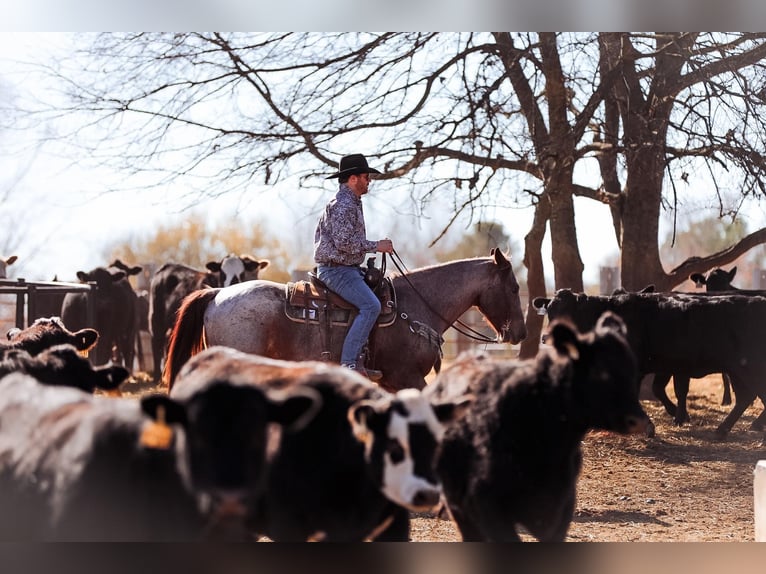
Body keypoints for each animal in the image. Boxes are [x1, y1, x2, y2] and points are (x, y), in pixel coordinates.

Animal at [536, 290, 766, 438]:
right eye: (550, 311)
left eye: (569, 311)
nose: (546, 338)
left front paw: (649, 426)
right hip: (737, 369)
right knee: (747, 397)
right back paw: (727, 429)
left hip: (749, 366)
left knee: (754, 394)